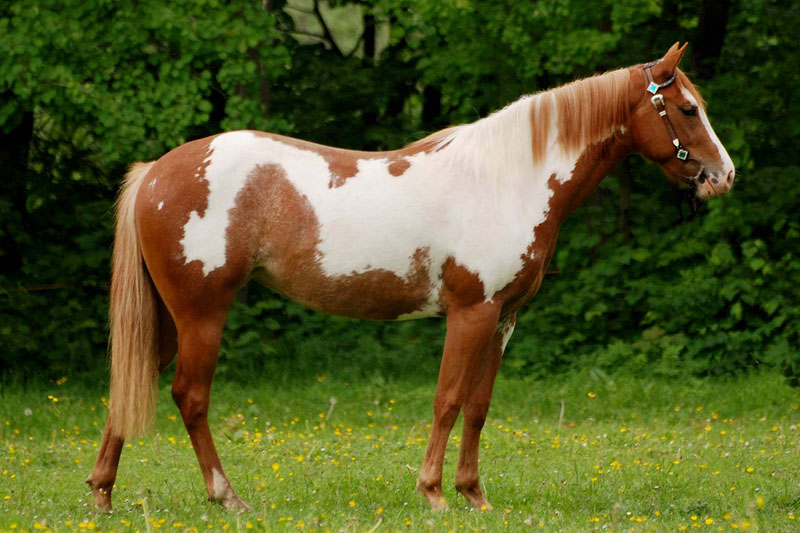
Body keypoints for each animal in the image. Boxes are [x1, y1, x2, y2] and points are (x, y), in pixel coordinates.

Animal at [86, 42, 735, 512]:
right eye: (686, 109)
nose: (723, 176)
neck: (507, 180)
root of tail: (156, 171)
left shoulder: (503, 319)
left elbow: (478, 407)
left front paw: (476, 497)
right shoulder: (471, 313)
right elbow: (447, 400)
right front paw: (434, 494)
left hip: (166, 318)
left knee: (129, 384)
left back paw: (103, 493)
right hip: (202, 314)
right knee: (189, 397)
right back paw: (227, 498)